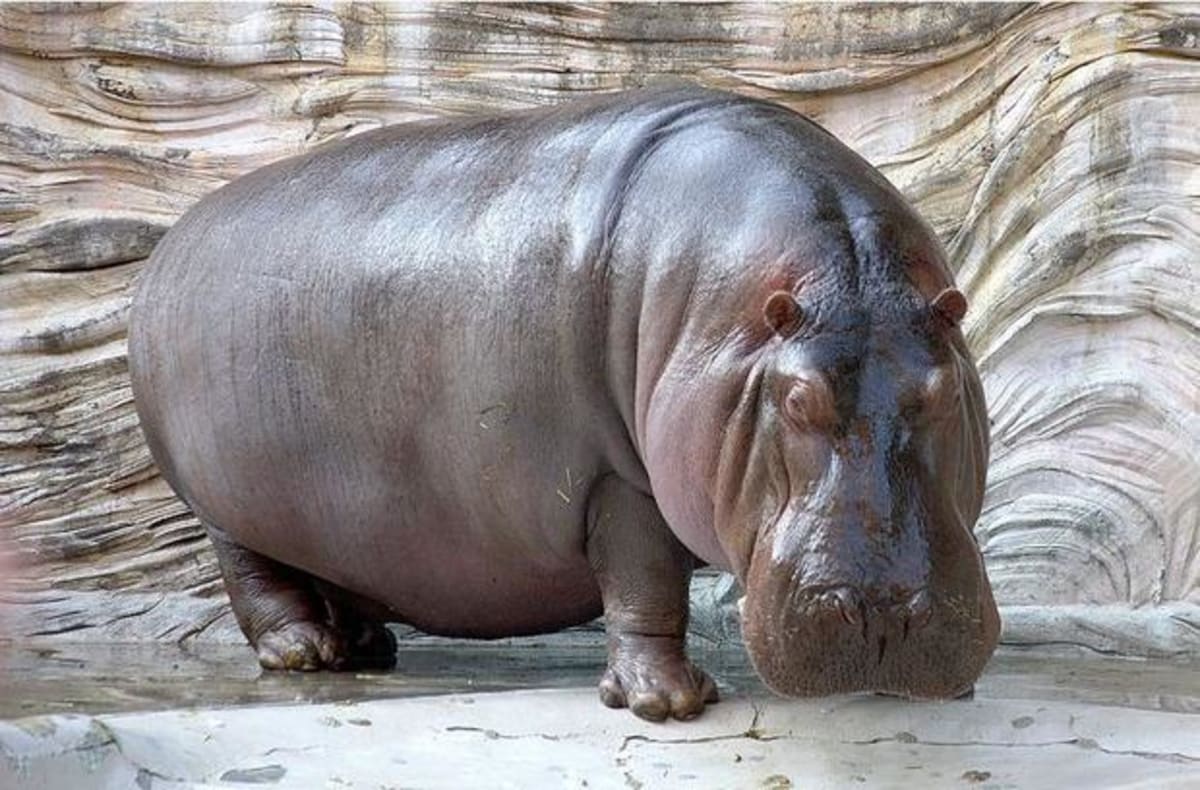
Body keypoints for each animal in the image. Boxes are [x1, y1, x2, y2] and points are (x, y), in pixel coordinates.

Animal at [129, 85, 999, 722]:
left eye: (943, 390)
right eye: (794, 399)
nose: (883, 615)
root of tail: (170, 246)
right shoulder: (620, 478)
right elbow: (646, 584)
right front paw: (667, 704)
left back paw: (368, 645)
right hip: (220, 505)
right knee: (256, 580)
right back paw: (304, 654)